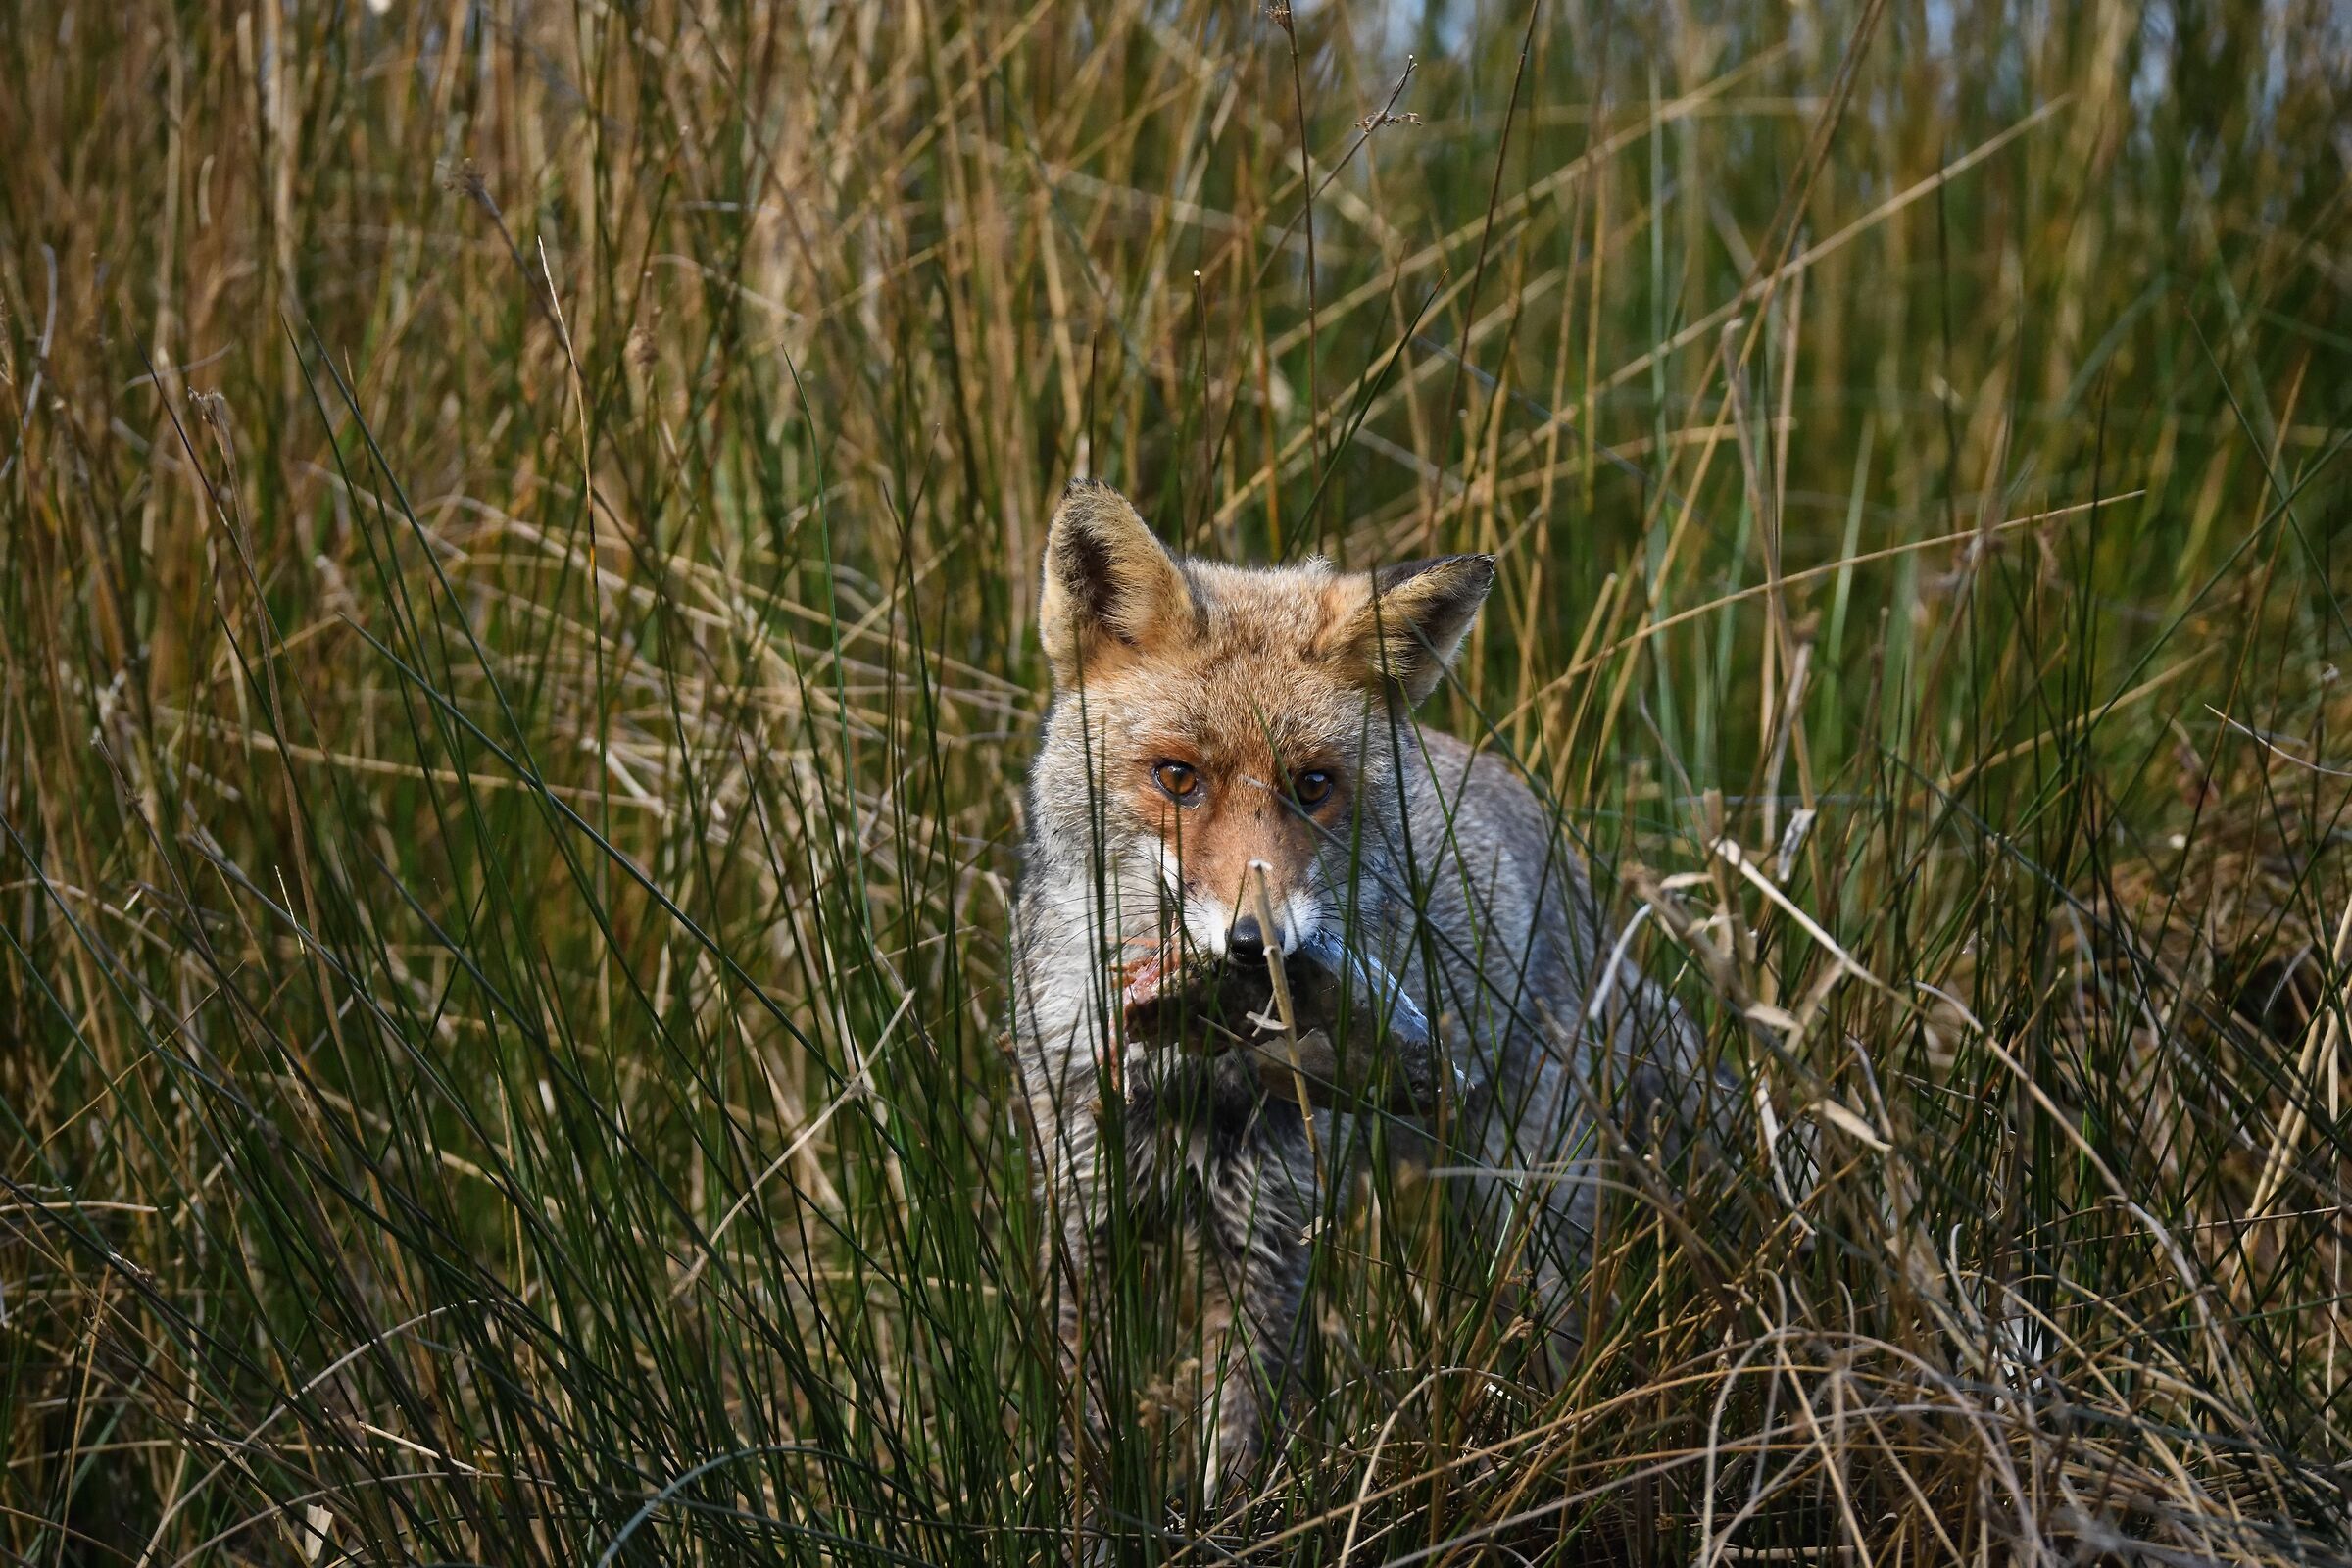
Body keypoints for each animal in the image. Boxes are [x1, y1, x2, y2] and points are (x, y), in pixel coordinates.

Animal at [1010, 479, 1711, 1503]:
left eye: (1312, 786)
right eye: (1177, 778)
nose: (1257, 946)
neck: (1193, 1076)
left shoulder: (1271, 1224)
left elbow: (1238, 1445)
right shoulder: (1082, 1205)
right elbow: (1079, 1441)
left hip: (1528, 1210)